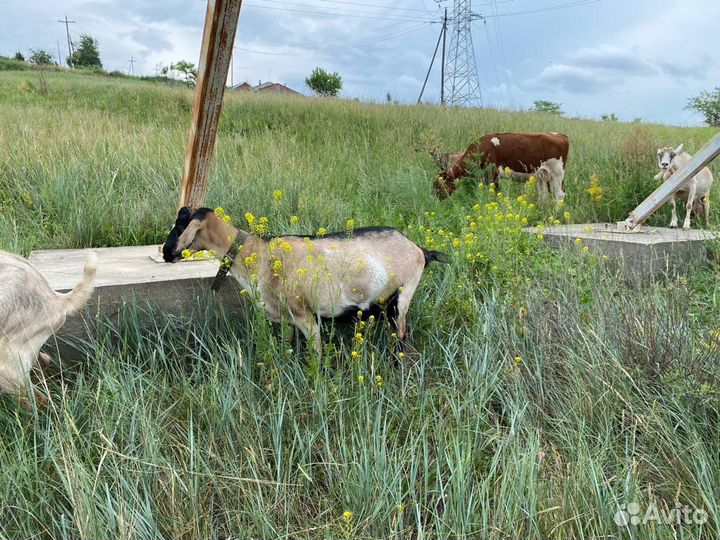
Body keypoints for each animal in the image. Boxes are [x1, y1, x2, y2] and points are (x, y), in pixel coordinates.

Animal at [162, 208, 449, 355]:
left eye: (180, 225)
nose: (165, 253)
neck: (258, 253)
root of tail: (420, 250)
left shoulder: (305, 316)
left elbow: (317, 355)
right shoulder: (285, 319)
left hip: (403, 296)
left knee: (401, 336)